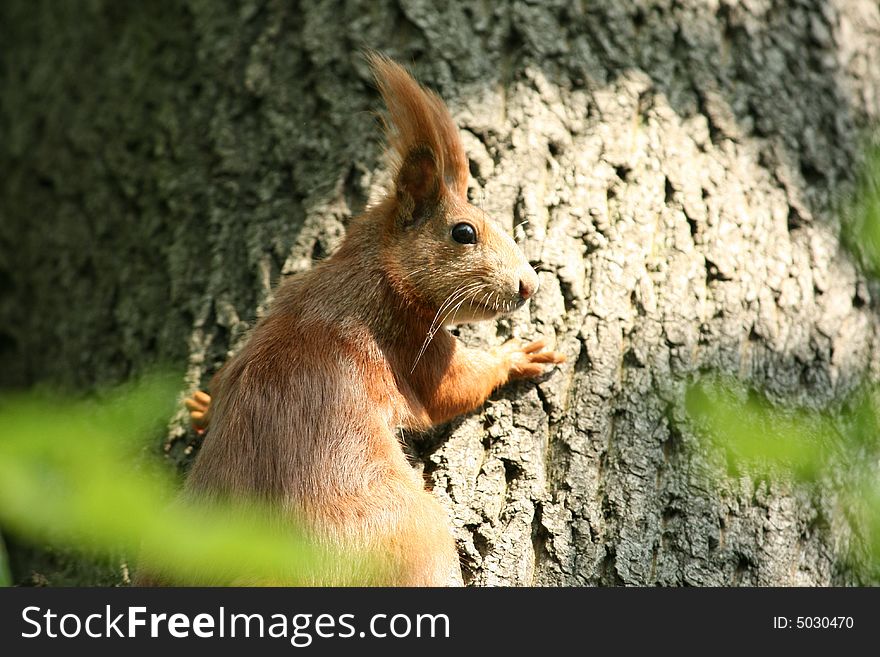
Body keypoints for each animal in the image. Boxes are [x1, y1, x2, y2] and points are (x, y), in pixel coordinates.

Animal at [154, 52, 564, 584]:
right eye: (464, 232)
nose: (528, 285)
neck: (370, 270)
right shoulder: (413, 345)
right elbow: (455, 388)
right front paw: (515, 354)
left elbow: (224, 376)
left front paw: (203, 404)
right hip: (412, 530)